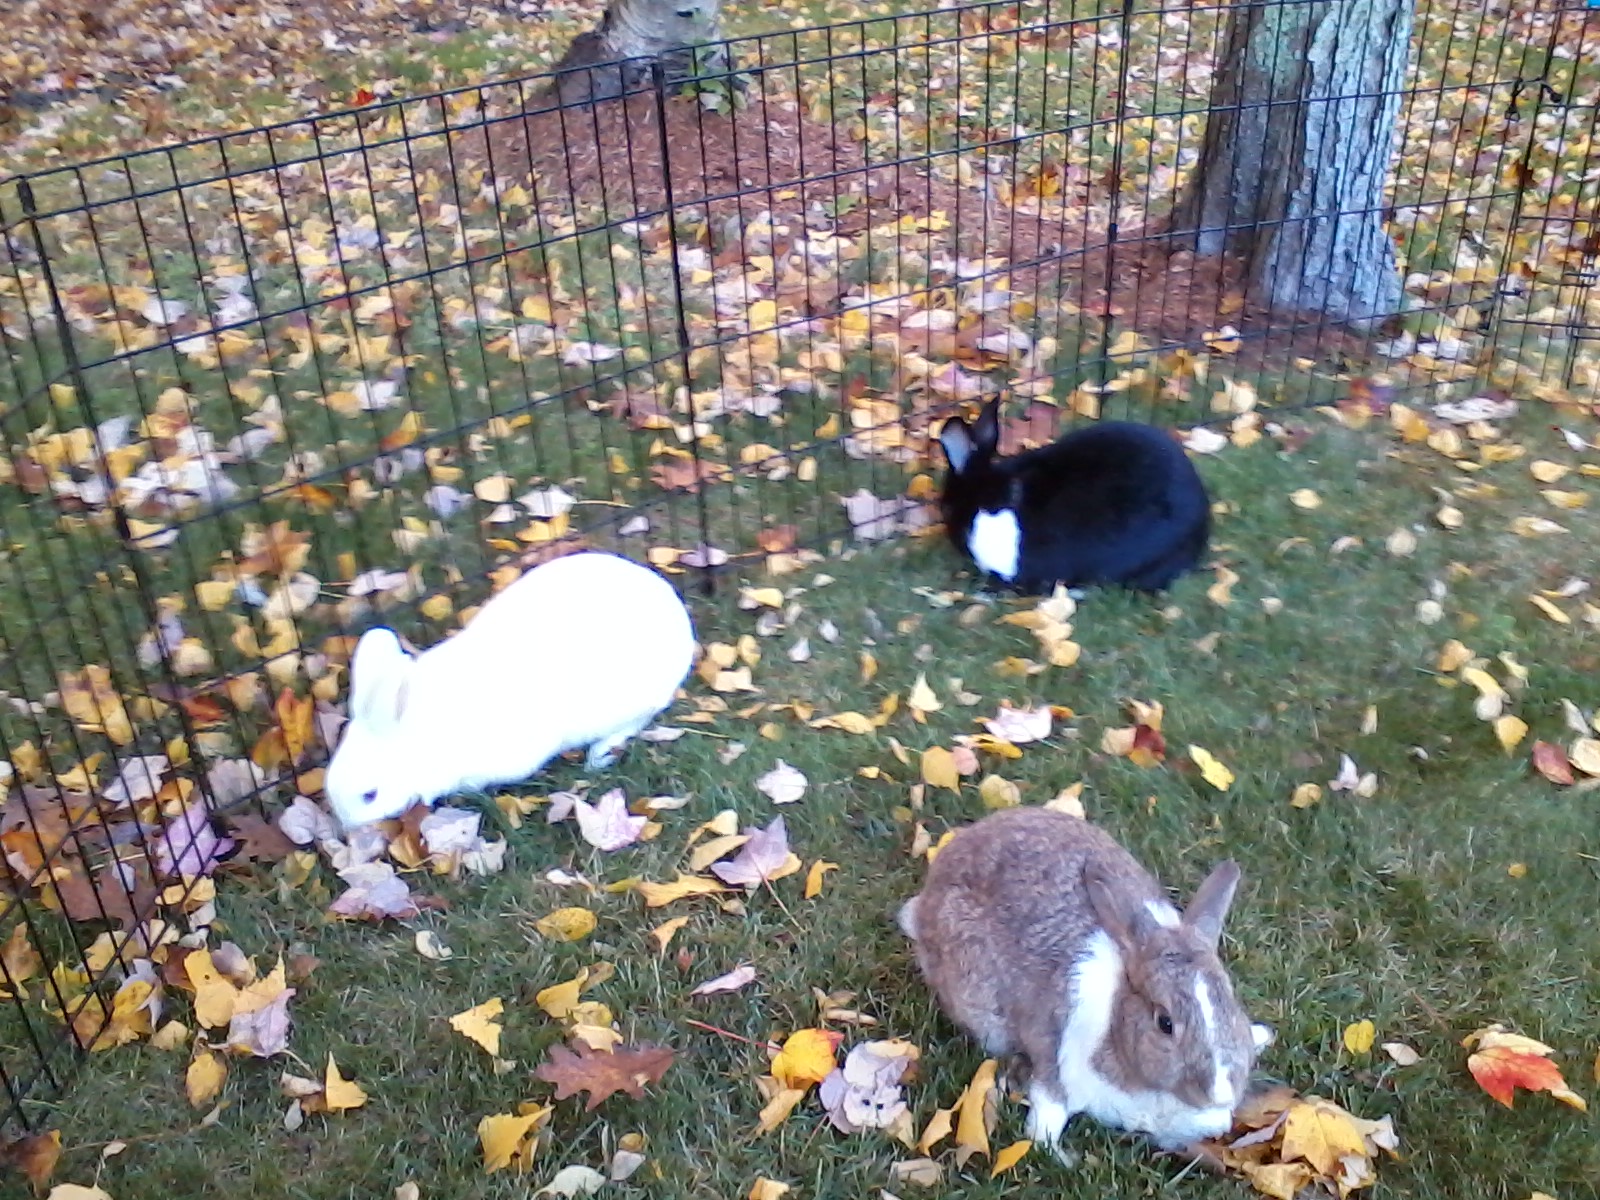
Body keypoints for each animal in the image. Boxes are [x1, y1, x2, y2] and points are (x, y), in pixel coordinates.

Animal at [902, 809, 1273, 1158]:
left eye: (1230, 1003)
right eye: (1164, 1023)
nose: (1219, 1093)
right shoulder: (1056, 1059)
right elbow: (1047, 1111)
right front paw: (1055, 1153)